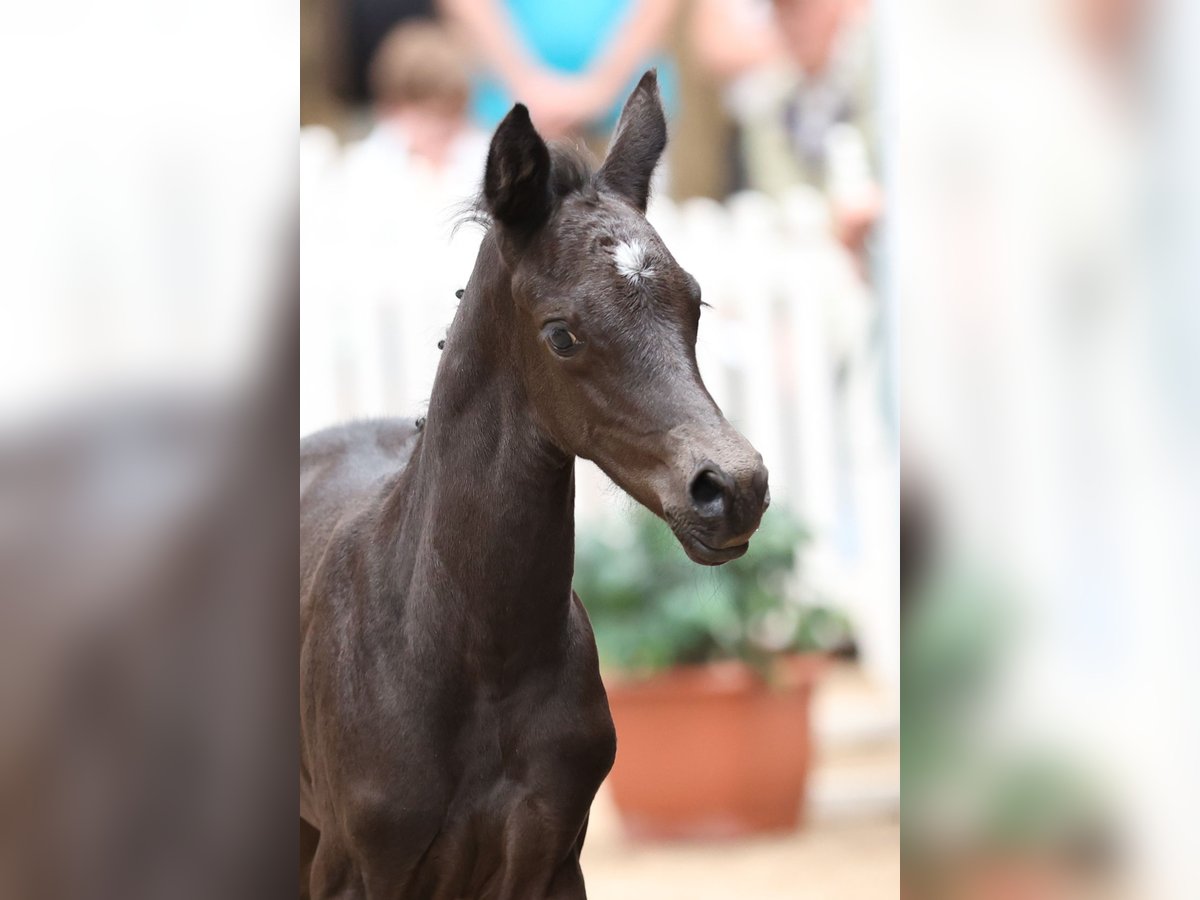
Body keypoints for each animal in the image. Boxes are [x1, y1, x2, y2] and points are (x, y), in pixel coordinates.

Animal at [300, 72, 768, 900]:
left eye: (695, 302)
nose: (732, 487)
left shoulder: (551, 861)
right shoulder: (352, 869)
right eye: (562, 333)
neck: (473, 653)